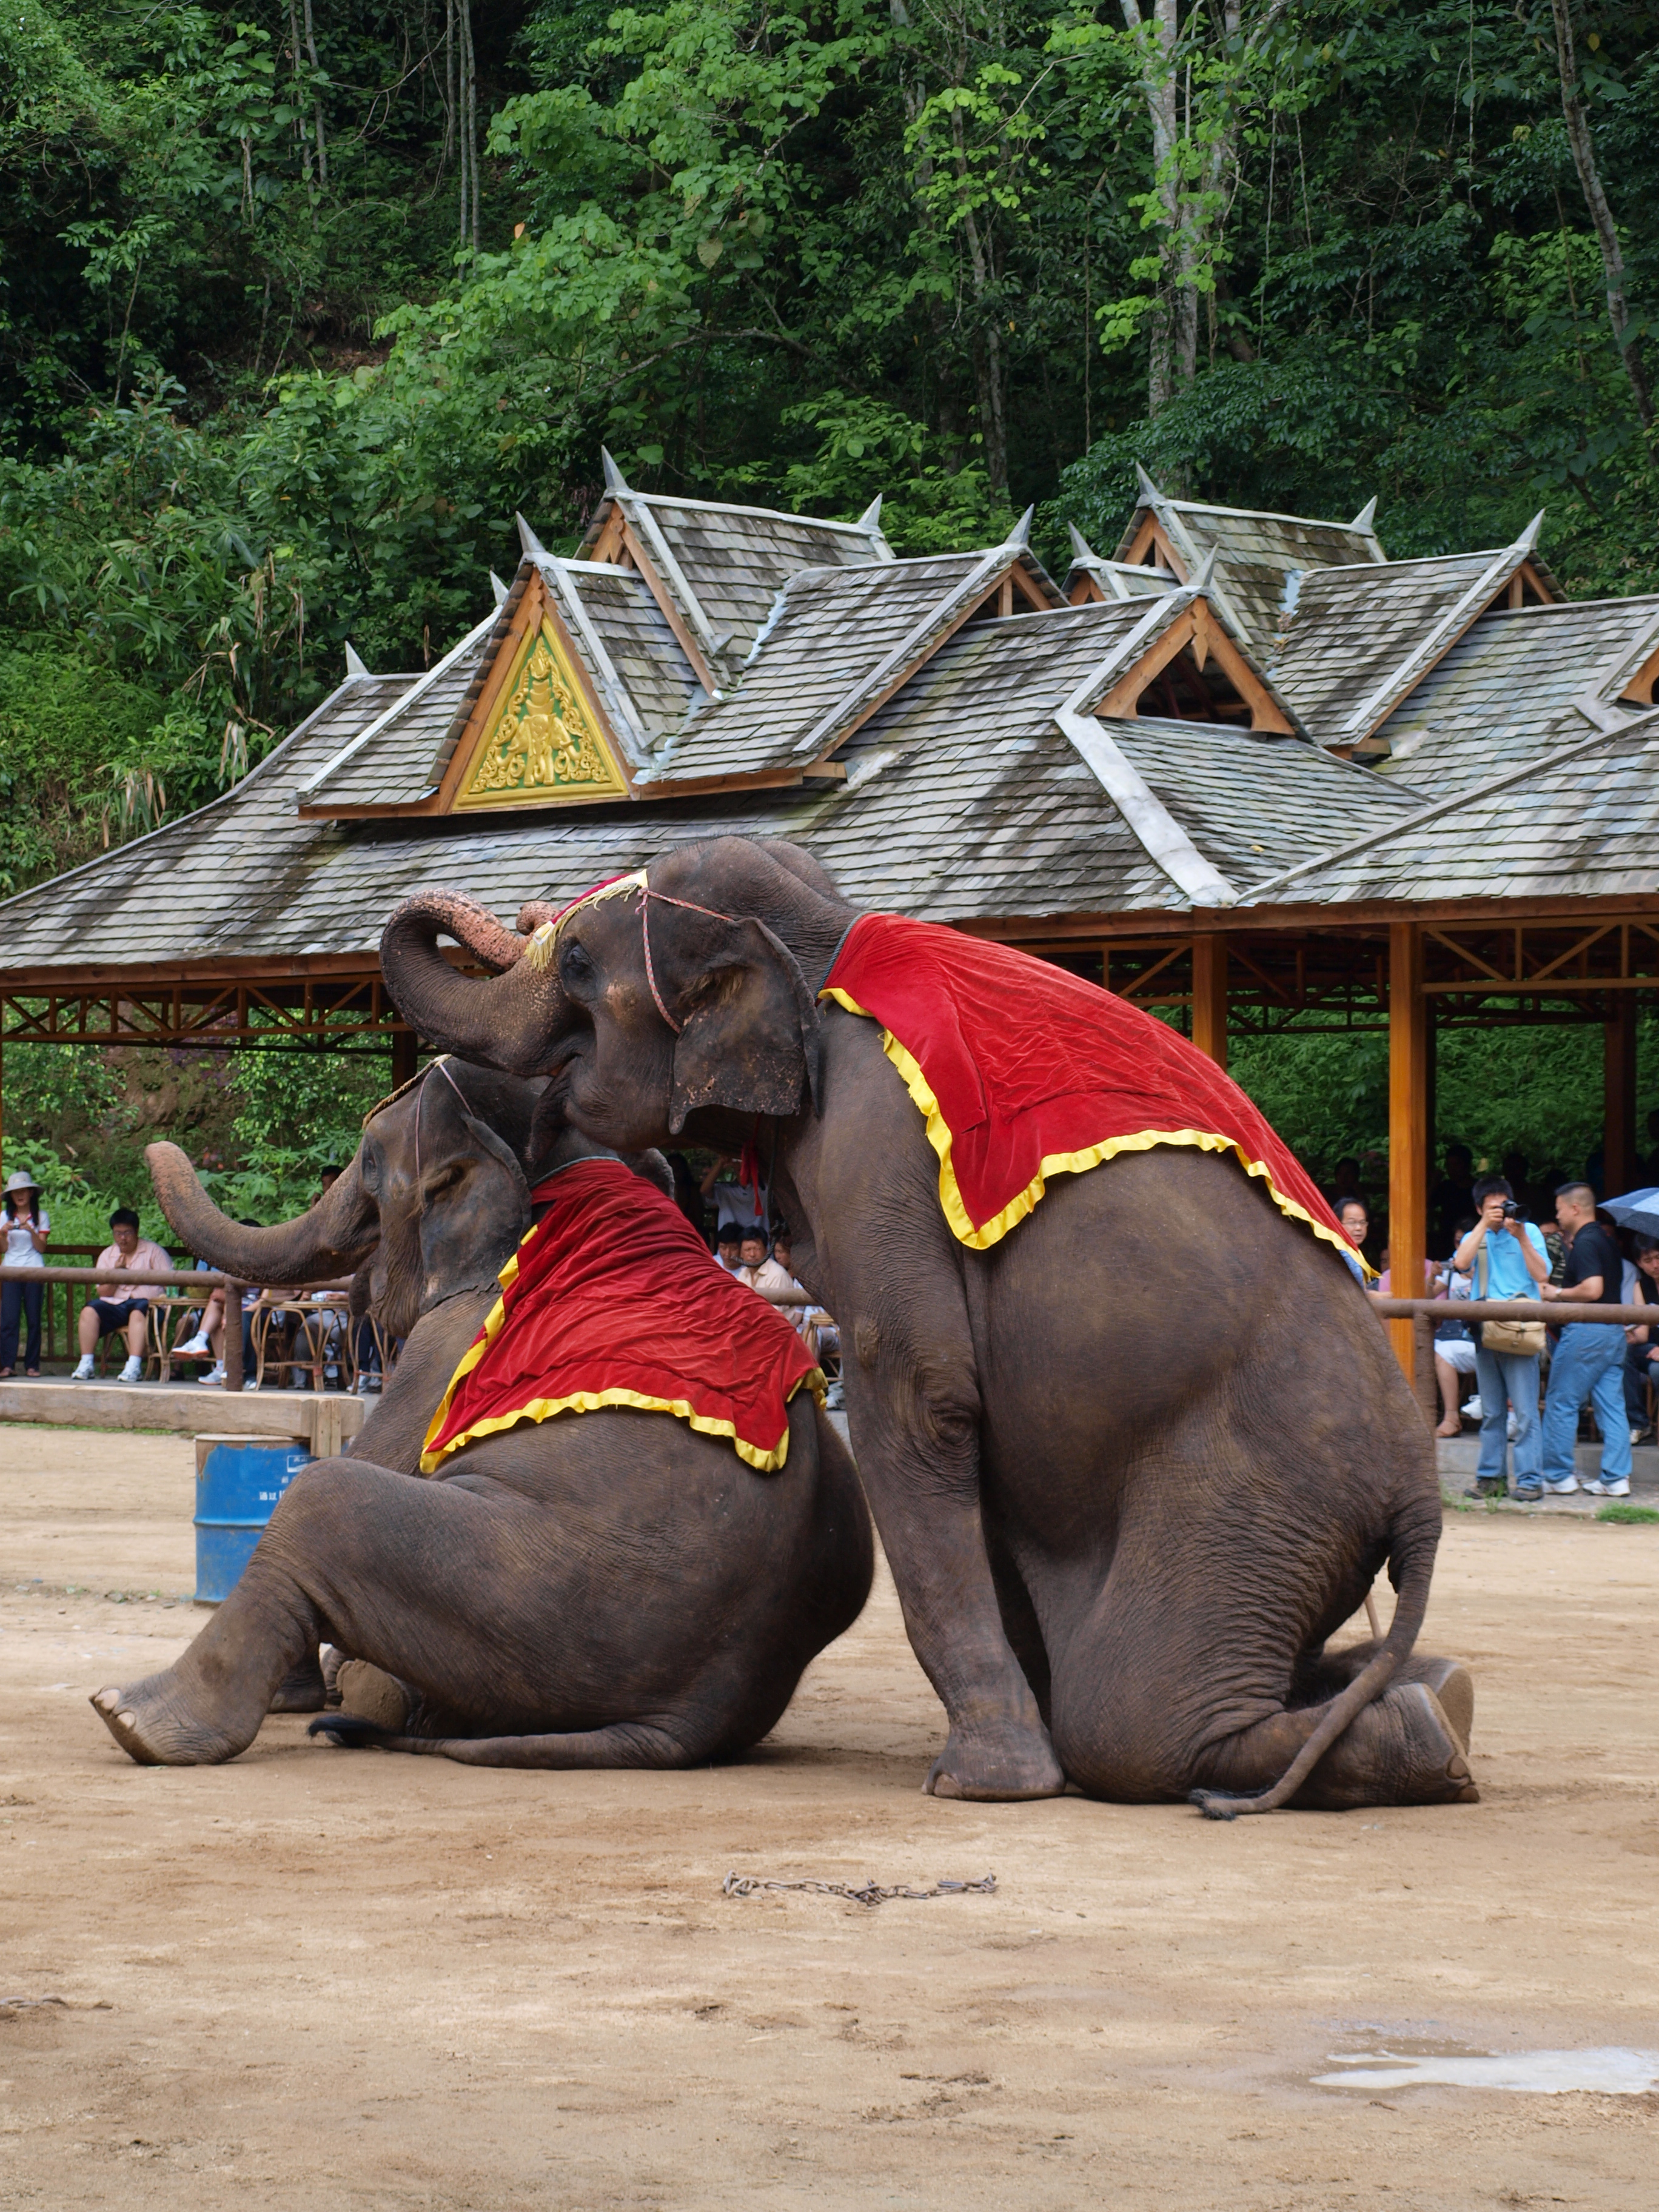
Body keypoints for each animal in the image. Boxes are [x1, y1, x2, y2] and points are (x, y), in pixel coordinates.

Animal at [89, 1062, 871, 1769]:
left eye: (369, 1165)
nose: (156, 1145)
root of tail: (695, 1720)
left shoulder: (450, 1337)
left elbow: (377, 1452)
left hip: (535, 1604)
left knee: (322, 1498)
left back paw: (136, 1717)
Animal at [376, 845, 1477, 1814]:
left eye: (576, 964)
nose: (525, 912)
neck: (823, 927)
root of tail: (1419, 1494)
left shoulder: (875, 1149)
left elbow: (917, 1396)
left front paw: (988, 1782)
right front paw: (1024, 1746)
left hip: (1253, 1500)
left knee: (1137, 1720)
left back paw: (1415, 1726)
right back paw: (1439, 1704)